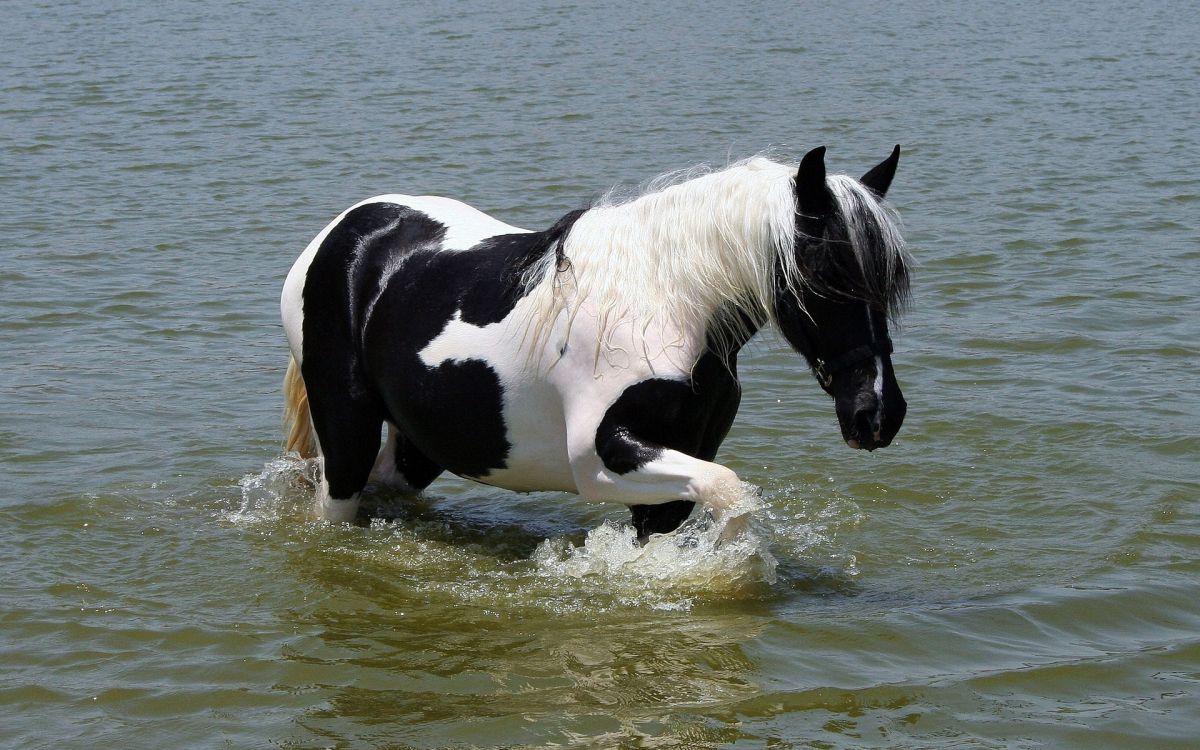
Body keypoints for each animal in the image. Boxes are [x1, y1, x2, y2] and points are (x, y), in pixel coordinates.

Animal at [281, 145, 911, 539]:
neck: (664, 303)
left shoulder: (675, 470)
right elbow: (731, 493)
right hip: (347, 436)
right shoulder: (602, 459)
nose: (878, 414)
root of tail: (343, 233)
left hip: (423, 442)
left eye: (890, 281)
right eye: (825, 274)